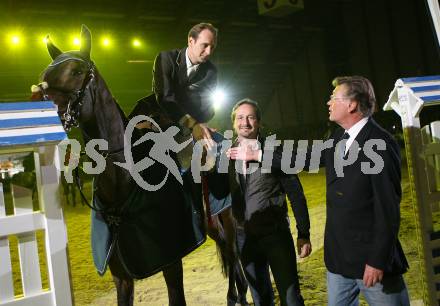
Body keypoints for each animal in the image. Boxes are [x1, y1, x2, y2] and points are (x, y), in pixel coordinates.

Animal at [31, 25, 248, 306]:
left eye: (77, 72)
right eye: (44, 75)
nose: (38, 111)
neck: (125, 181)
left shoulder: (171, 263)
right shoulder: (121, 276)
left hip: (228, 216)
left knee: (232, 253)